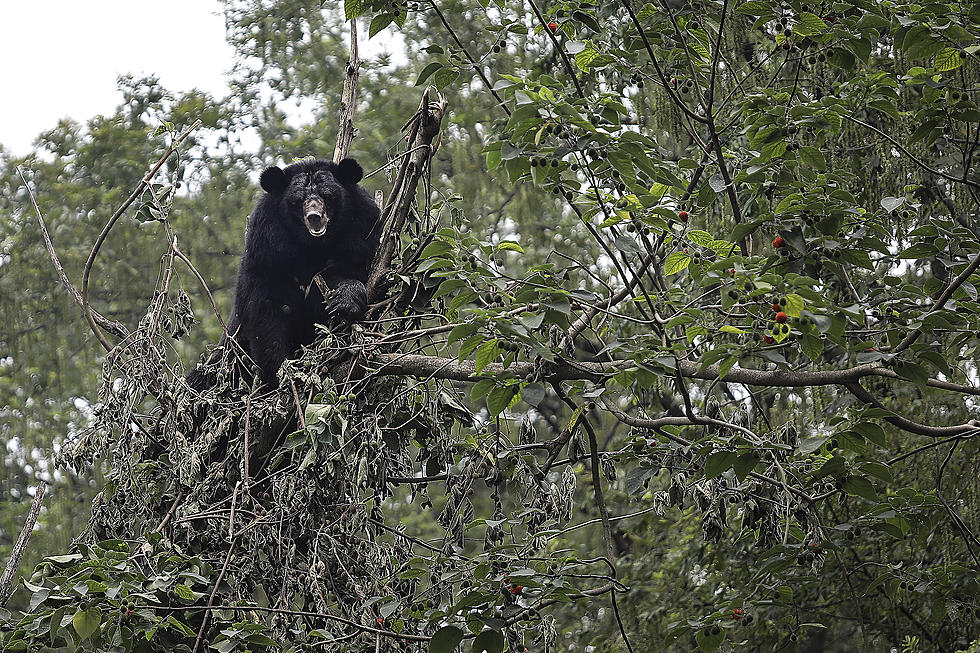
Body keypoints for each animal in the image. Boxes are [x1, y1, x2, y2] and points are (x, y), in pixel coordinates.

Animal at [189, 157, 380, 388]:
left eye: (327, 195)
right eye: (298, 200)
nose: (314, 217)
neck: (313, 246)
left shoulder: (359, 236)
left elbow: (349, 272)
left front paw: (344, 302)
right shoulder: (267, 251)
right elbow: (267, 313)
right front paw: (281, 372)